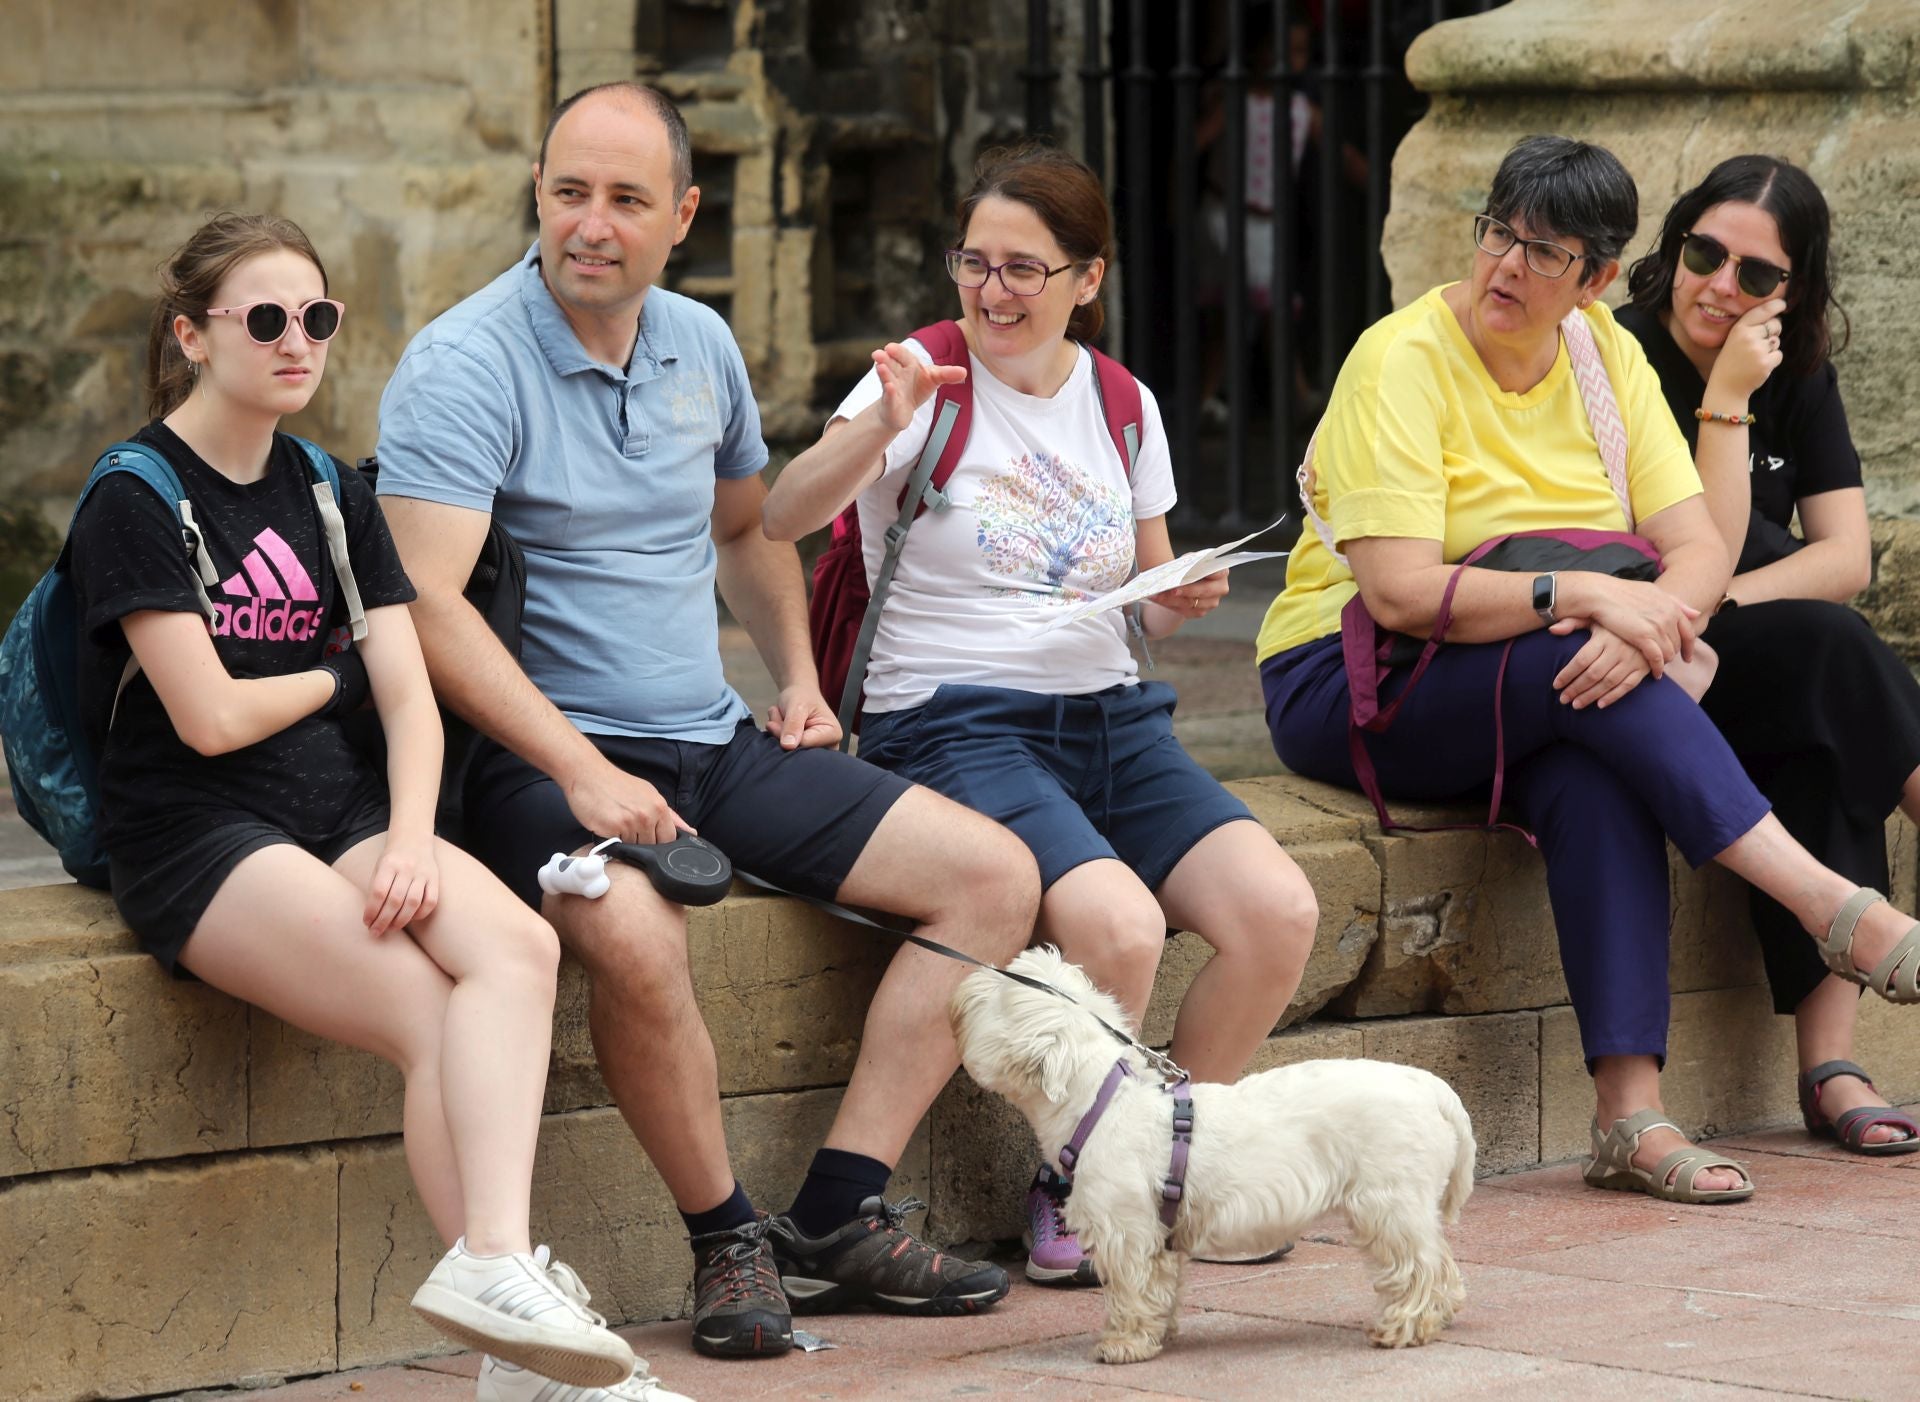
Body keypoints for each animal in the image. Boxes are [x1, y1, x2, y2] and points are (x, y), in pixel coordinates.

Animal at [952, 944, 1474, 1359]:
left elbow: (1130, 1287)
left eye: (1003, 988)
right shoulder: (1158, 1235)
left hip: (1388, 1197)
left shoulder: (1125, 1228)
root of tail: (1431, 1088)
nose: (965, 982)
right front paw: (1158, 1333)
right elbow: (1159, 1286)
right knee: (1441, 1260)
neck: (1099, 1101)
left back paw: (1403, 1326)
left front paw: (1122, 1344)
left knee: (1419, 1263)